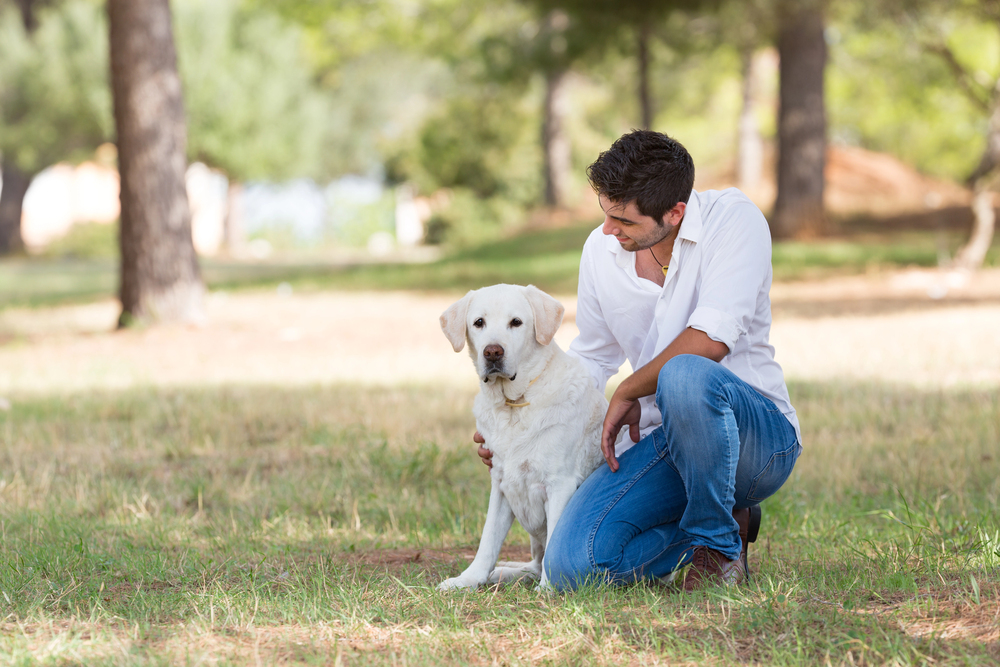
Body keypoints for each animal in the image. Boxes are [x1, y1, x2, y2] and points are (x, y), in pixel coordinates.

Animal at [440, 282, 608, 588]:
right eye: (479, 323)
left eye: (516, 322)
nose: (492, 352)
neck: (513, 403)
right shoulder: (501, 484)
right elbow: (487, 541)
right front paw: (468, 579)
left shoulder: (560, 484)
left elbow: (554, 543)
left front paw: (549, 590)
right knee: (533, 565)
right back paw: (503, 573)